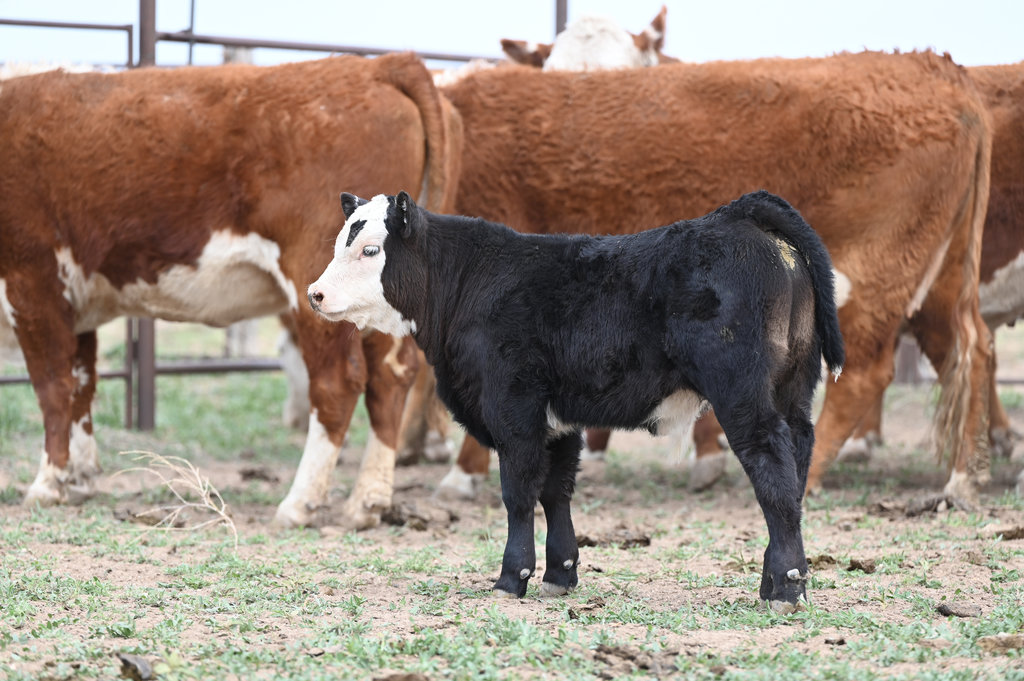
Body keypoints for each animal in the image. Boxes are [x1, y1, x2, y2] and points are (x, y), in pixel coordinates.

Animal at [0, 53, 461, 529]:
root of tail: (381, 65)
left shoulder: (30, 281)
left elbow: (53, 386)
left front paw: (48, 483)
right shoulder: (75, 300)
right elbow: (81, 384)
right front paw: (80, 477)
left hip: (316, 284)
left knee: (337, 382)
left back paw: (300, 502)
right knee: (391, 377)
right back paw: (366, 502)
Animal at [308, 189, 844, 612]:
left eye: (370, 249)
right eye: (339, 244)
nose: (314, 294)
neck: (471, 281)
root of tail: (738, 217)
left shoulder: (514, 410)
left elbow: (519, 493)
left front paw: (512, 578)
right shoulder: (558, 421)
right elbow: (555, 491)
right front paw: (559, 575)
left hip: (743, 397)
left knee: (771, 473)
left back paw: (786, 589)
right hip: (793, 394)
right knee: (795, 470)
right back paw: (775, 581)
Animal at [436, 52, 993, 505]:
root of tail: (942, 70)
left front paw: (463, 473)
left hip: (872, 276)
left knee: (863, 375)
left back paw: (806, 480)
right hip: (940, 284)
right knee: (969, 349)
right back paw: (963, 479)